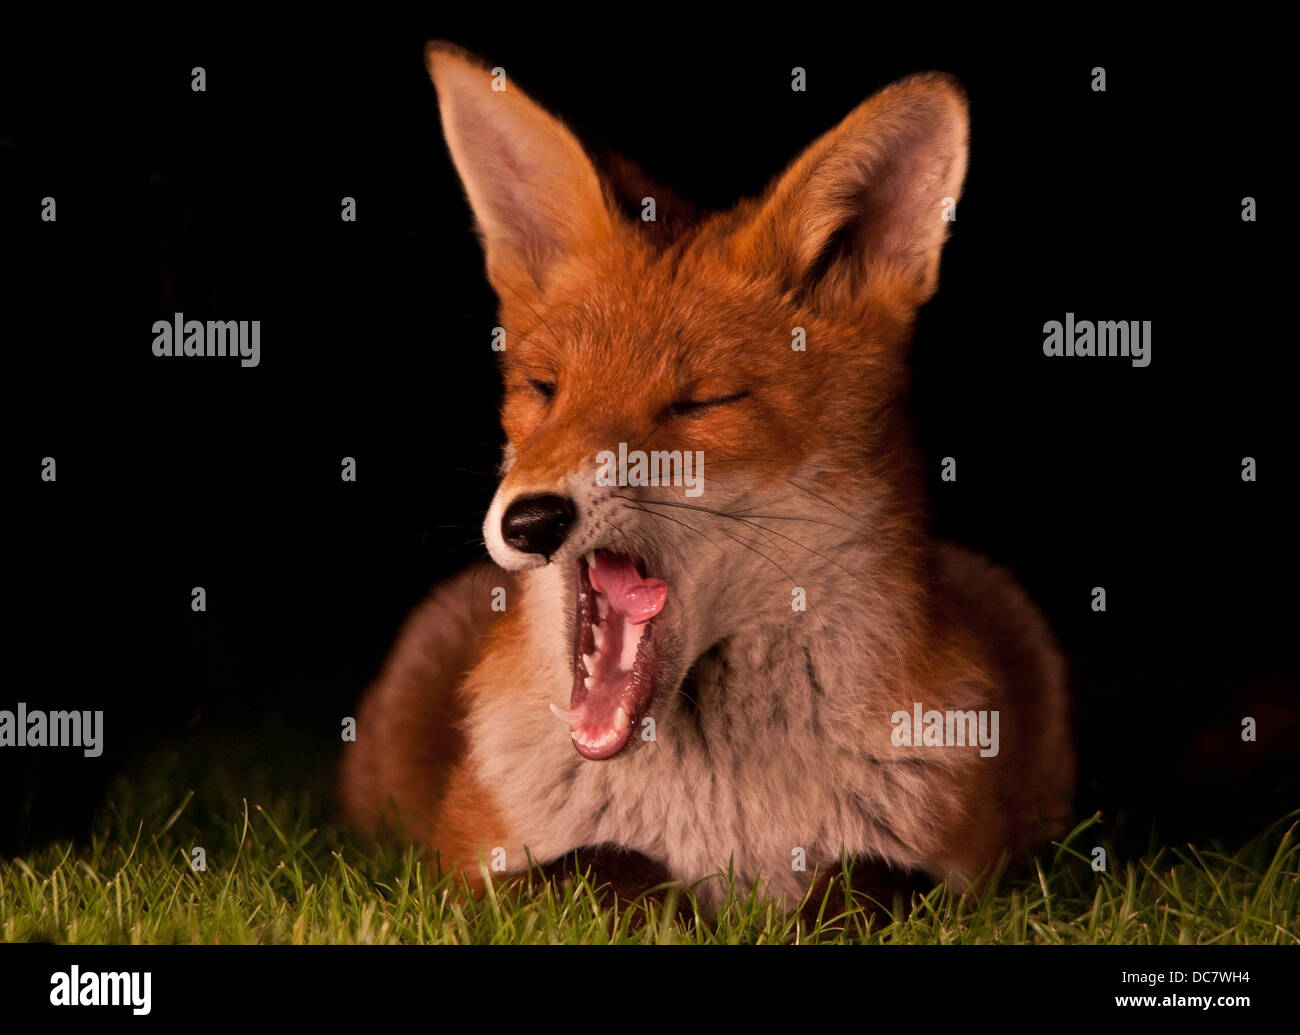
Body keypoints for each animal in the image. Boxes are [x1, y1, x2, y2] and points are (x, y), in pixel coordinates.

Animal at [340, 41, 1075, 912]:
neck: (724, 819)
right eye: (545, 388)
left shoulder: (975, 879)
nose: (530, 519)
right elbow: (602, 863)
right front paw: (672, 904)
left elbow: (870, 879)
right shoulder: (458, 874)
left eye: (698, 403)